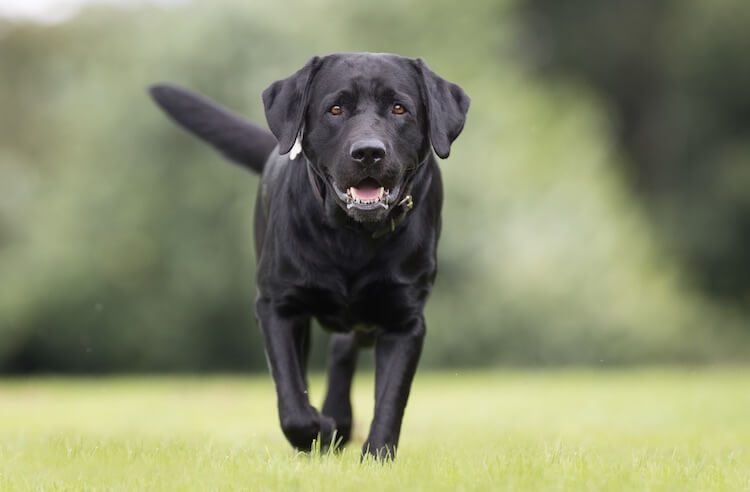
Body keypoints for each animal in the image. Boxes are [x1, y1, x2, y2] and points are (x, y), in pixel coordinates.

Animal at [151, 52, 470, 460]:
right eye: (335, 109)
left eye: (400, 108)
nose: (369, 152)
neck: (352, 237)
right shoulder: (277, 307)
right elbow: (292, 400)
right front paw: (319, 429)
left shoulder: (405, 320)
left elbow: (390, 400)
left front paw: (375, 456)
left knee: (343, 347)